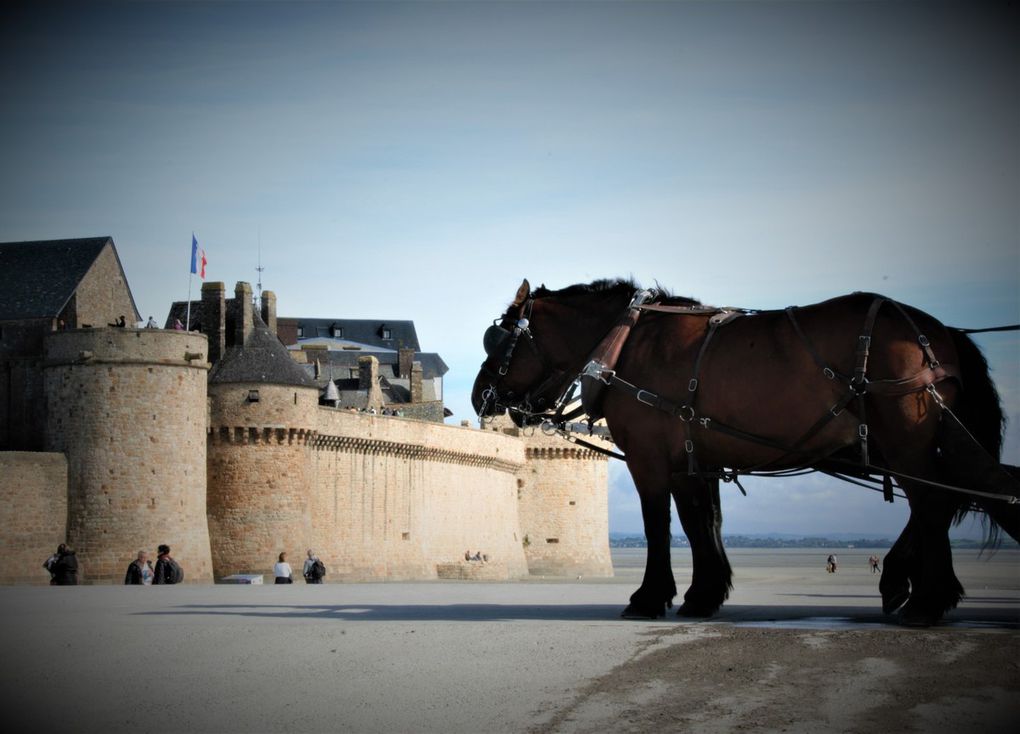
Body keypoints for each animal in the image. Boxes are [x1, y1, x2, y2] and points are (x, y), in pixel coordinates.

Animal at [471, 277, 1020, 623]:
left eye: (497, 338)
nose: (480, 396)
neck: (626, 342)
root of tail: (937, 330)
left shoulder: (651, 460)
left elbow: (659, 527)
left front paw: (651, 596)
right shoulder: (696, 458)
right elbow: (703, 525)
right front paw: (704, 594)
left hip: (907, 443)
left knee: (934, 503)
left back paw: (927, 599)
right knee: (942, 503)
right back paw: (907, 587)